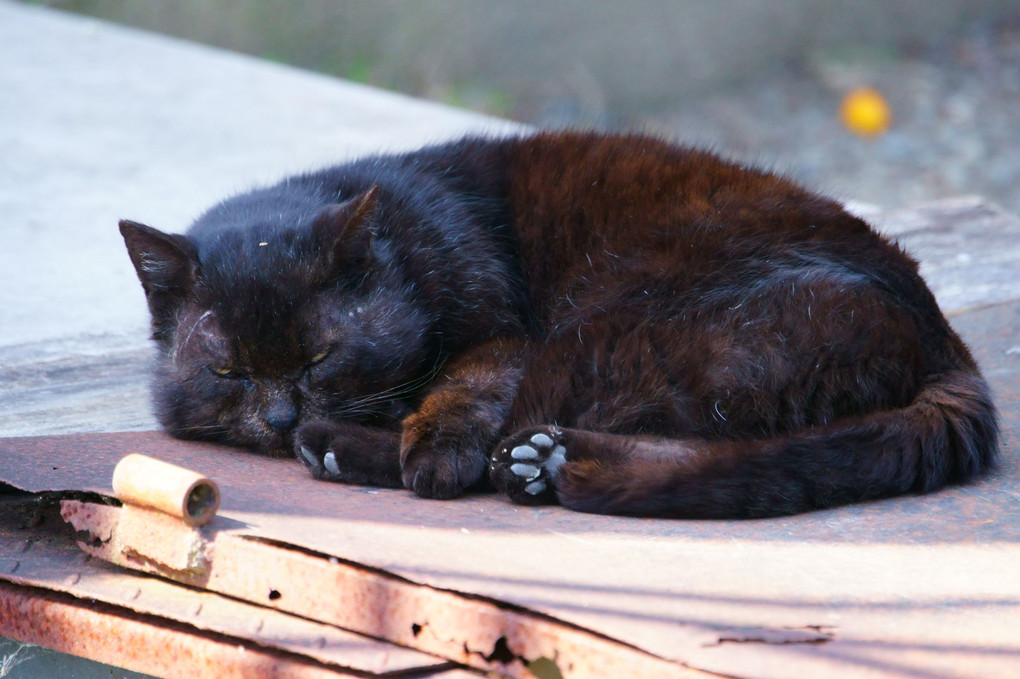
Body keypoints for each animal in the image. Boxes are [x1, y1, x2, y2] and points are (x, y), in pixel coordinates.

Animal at [117, 129, 995, 515]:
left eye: (318, 358)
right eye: (228, 372)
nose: (278, 414)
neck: (406, 240)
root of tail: (940, 334)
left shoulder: (507, 338)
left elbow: (463, 387)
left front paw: (431, 449)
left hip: (609, 327)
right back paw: (544, 463)